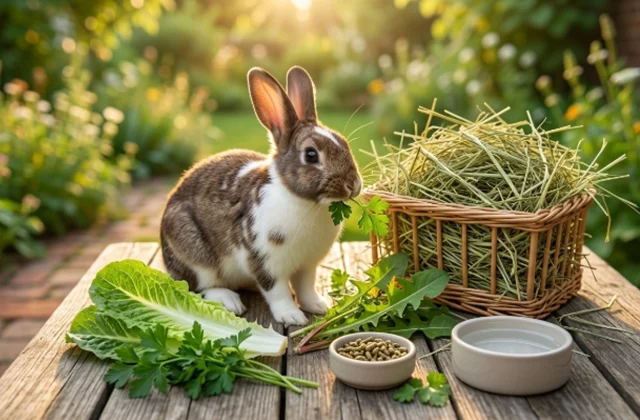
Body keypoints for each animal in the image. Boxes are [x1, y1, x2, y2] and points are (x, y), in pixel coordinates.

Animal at [160, 66, 362, 326]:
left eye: (344, 143)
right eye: (311, 155)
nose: (353, 185)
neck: (300, 200)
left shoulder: (308, 265)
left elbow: (305, 288)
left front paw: (319, 306)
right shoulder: (265, 262)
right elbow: (278, 292)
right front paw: (293, 317)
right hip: (195, 254)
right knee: (201, 285)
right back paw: (229, 301)